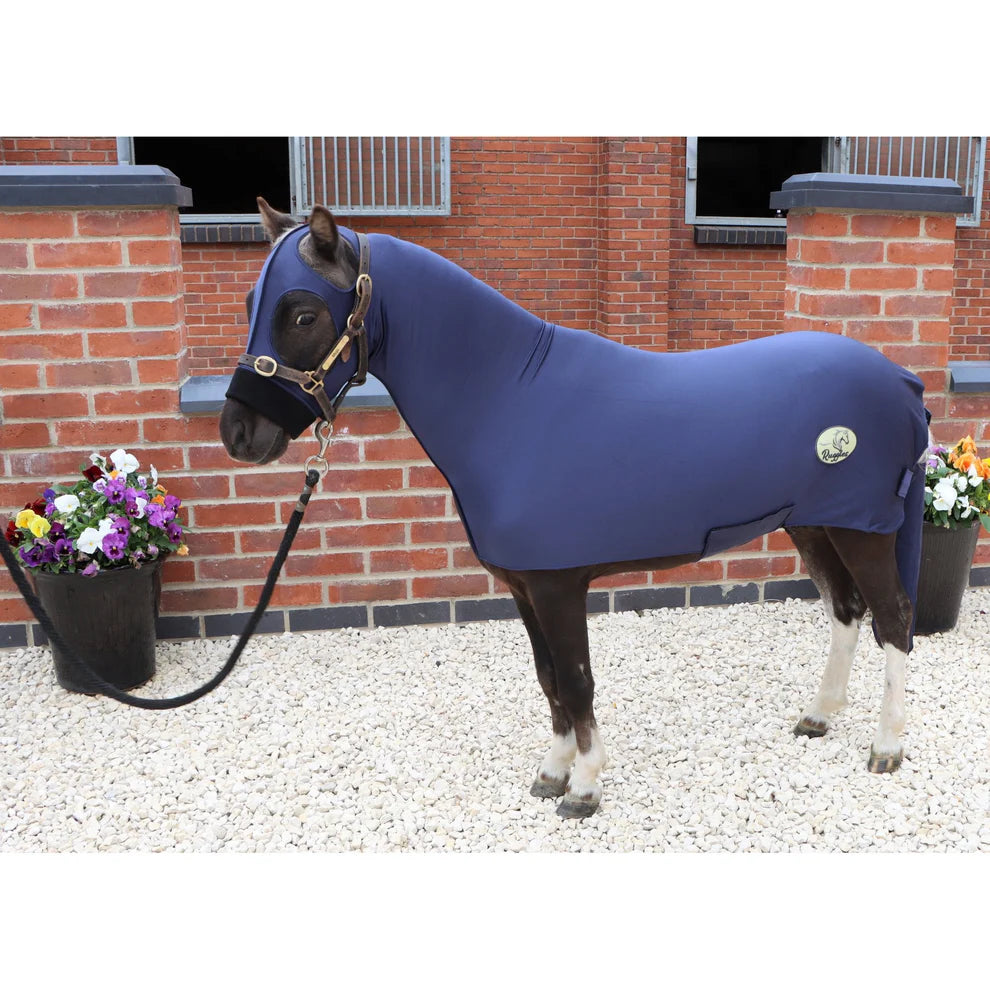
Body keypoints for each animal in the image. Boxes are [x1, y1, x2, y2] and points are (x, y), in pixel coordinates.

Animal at [219, 199, 930, 819]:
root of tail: (902, 379)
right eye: (252, 303)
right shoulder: (524, 586)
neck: (507, 400)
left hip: (863, 530)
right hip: (814, 523)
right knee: (845, 610)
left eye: (303, 315)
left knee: (894, 617)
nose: (239, 434)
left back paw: (887, 746)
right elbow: (549, 678)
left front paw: (585, 788)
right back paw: (819, 715)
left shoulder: (559, 586)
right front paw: (552, 772)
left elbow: (577, 679)